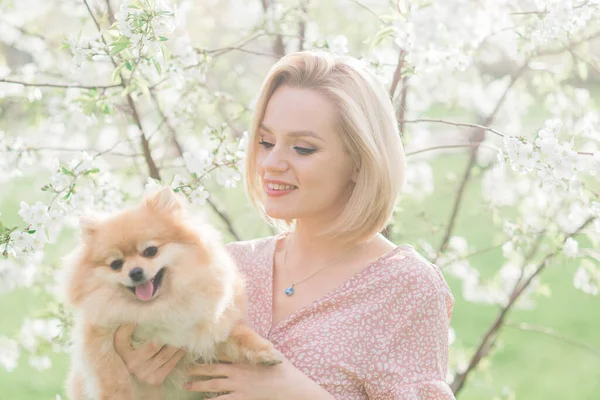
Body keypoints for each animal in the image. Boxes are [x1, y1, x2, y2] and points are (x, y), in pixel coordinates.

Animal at [64, 188, 280, 400]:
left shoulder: (207, 330)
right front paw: (117, 394)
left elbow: (239, 334)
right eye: (116, 264)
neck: (158, 306)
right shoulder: (100, 339)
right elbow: (114, 377)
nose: (135, 272)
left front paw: (266, 352)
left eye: (151, 251)